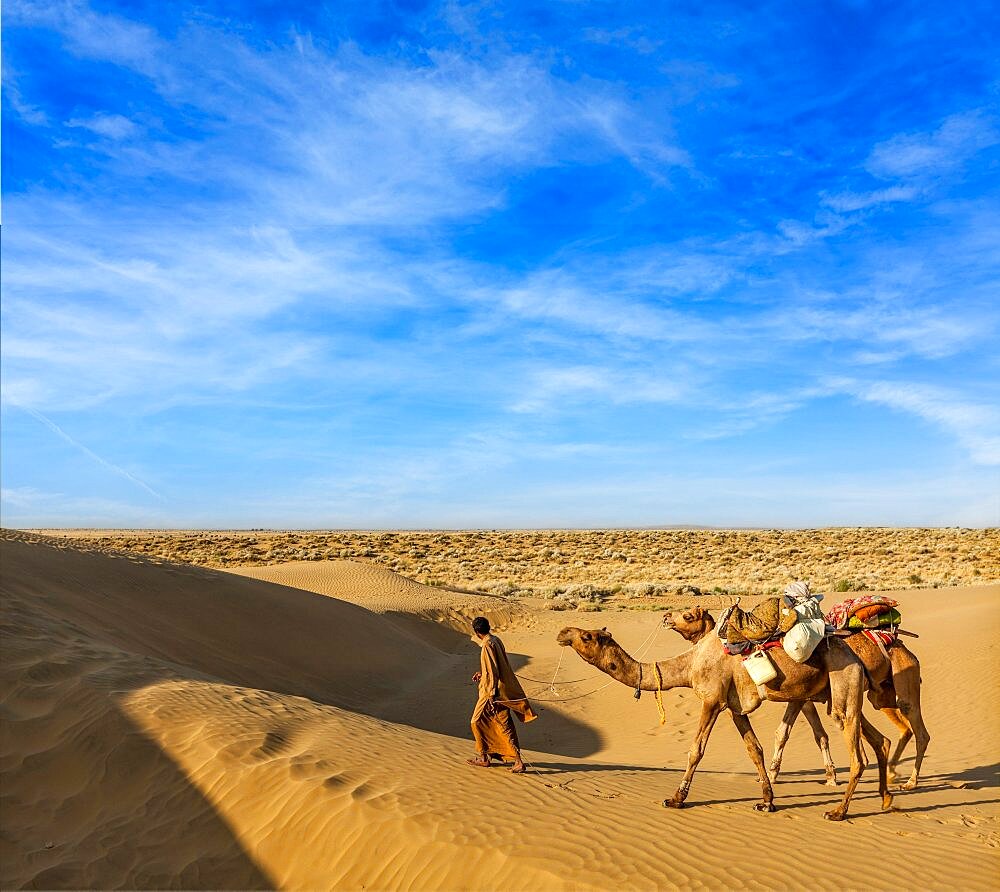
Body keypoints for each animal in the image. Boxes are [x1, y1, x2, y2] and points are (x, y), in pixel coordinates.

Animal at [560, 616, 896, 820]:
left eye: (587, 636)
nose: (563, 633)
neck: (689, 664)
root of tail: (857, 657)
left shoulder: (712, 699)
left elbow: (696, 750)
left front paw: (676, 799)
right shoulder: (735, 708)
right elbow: (754, 750)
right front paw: (767, 801)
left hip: (843, 685)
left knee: (858, 756)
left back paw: (838, 812)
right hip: (841, 692)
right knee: (879, 739)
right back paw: (885, 799)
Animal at [664, 608, 928, 788]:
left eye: (688, 616)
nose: (666, 617)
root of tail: (903, 646)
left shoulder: (803, 698)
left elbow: (802, 734)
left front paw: (824, 776)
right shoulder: (804, 698)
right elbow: (804, 733)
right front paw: (826, 775)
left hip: (900, 683)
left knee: (916, 727)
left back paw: (909, 780)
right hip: (880, 695)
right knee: (890, 730)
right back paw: (892, 772)